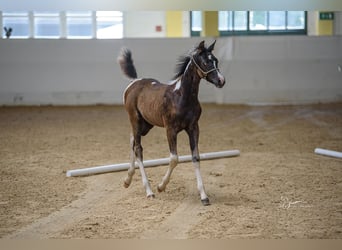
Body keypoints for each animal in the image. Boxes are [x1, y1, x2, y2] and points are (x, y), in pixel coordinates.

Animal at [117, 40, 224, 205]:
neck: (182, 96)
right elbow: (174, 158)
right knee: (138, 149)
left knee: (132, 141)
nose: (221, 80)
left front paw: (204, 196)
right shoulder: (170, 129)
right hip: (135, 119)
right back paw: (149, 191)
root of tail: (134, 81)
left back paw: (127, 180)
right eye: (206, 62)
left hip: (146, 124)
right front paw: (161, 186)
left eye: (216, 60)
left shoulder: (193, 128)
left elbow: (196, 157)